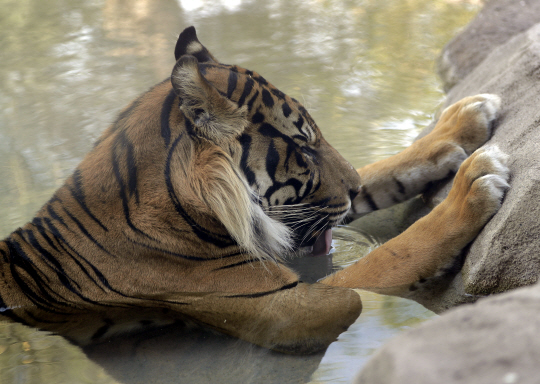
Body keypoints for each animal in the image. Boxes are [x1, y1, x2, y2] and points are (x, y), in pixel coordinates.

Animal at [0, 25, 508, 352]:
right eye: (302, 148)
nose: (351, 187)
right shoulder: (286, 307)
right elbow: (388, 258)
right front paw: (472, 186)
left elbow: (381, 171)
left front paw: (463, 122)